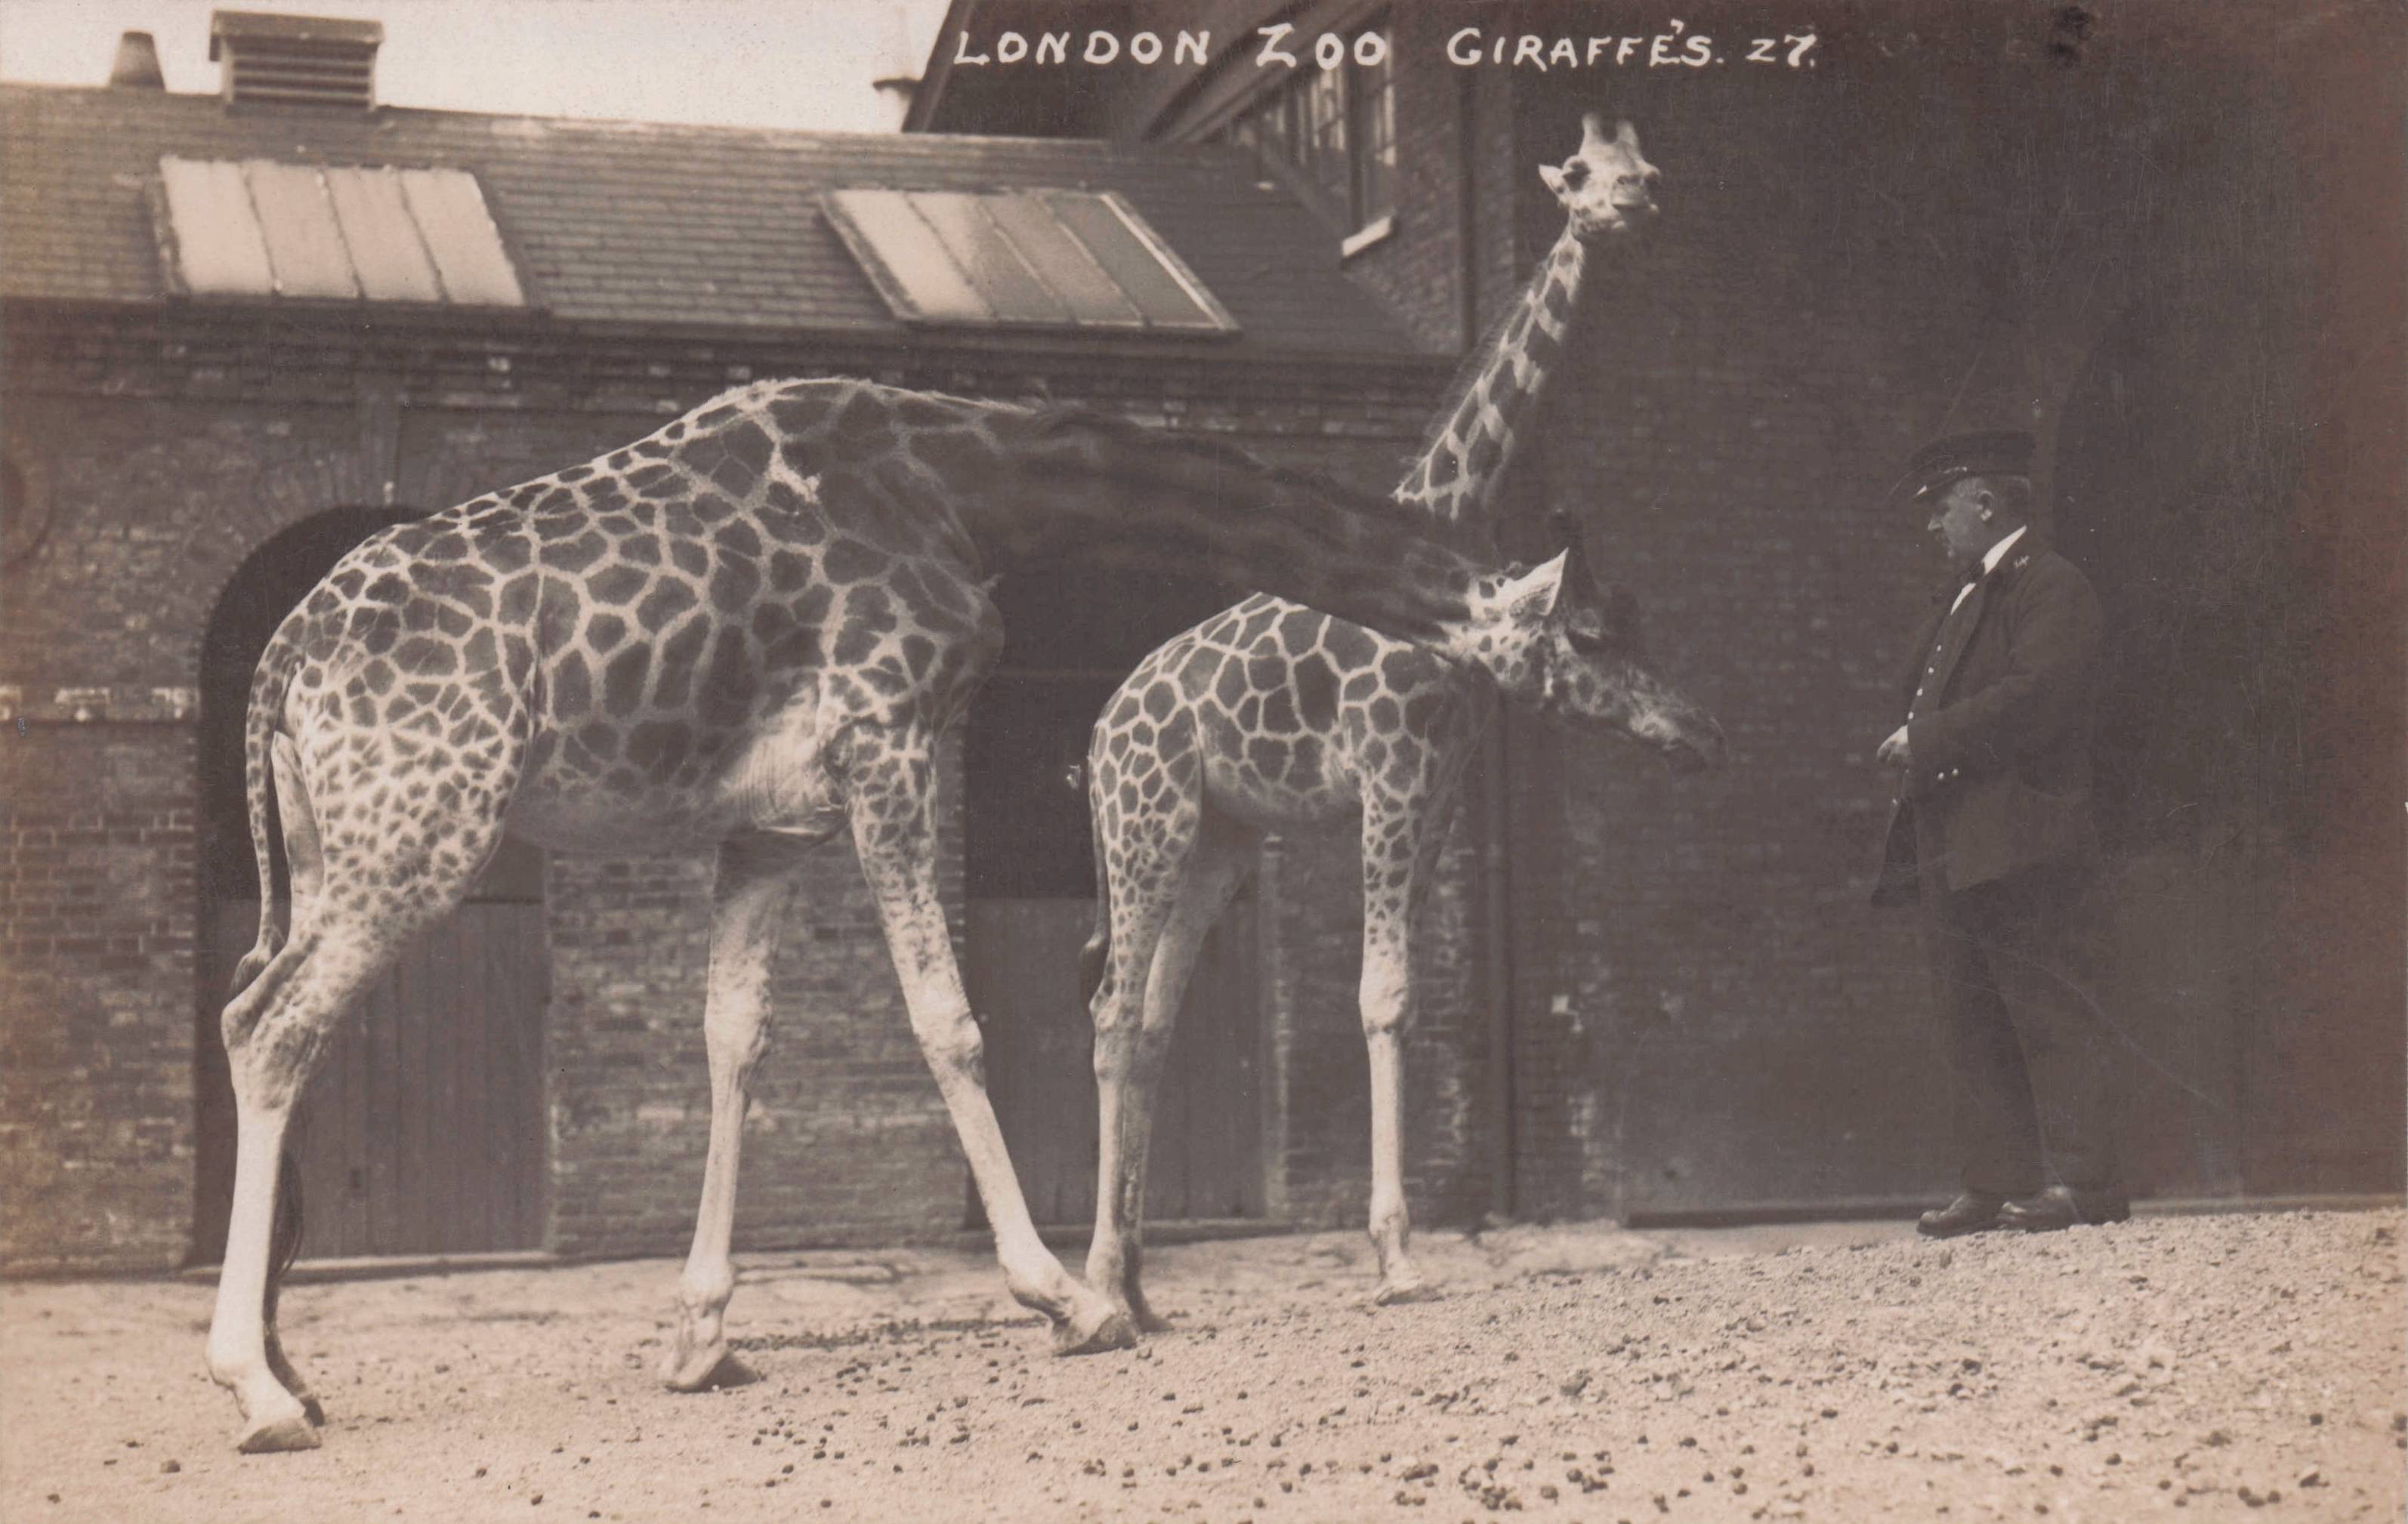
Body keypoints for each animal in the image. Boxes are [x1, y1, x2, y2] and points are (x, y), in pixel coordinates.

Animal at [208, 374, 1660, 1454]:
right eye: (1593, 635)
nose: (1686, 729)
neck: (970, 482)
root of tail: (278, 660)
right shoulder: (891, 738)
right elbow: (947, 1019)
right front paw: (1072, 1301)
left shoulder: (771, 821)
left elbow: (735, 1041)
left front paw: (702, 1336)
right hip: (424, 829)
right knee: (271, 1029)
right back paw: (259, 1389)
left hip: (338, 848)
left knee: (254, 1011)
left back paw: (293, 1366)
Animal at [1078, 113, 1721, 1327]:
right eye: (1579, 177)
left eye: (1648, 171)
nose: (1629, 210)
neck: (1441, 522)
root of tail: (1095, 736)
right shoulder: (1386, 771)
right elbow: (1376, 999)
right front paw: (1398, 1257)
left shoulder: (1441, 786)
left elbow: (1410, 1000)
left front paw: (1398, 1246)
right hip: (1144, 824)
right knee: (1107, 1014)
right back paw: (1097, 1285)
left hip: (1218, 839)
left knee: (1151, 1018)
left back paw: (1139, 1286)